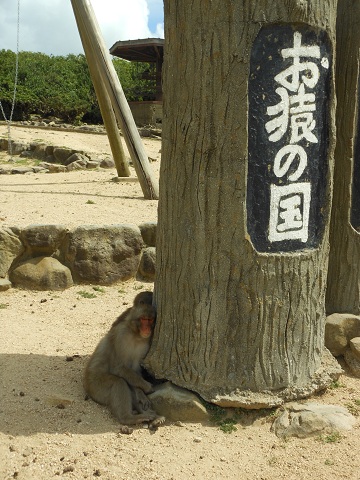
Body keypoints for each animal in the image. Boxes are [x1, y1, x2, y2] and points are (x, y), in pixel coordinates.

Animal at [83, 292, 164, 432]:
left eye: (150, 320)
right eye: (143, 319)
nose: (147, 329)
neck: (136, 335)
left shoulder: (145, 344)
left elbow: (135, 369)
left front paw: (141, 393)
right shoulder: (121, 336)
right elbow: (118, 367)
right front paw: (146, 387)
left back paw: (154, 418)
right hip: (96, 387)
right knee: (118, 382)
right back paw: (128, 418)